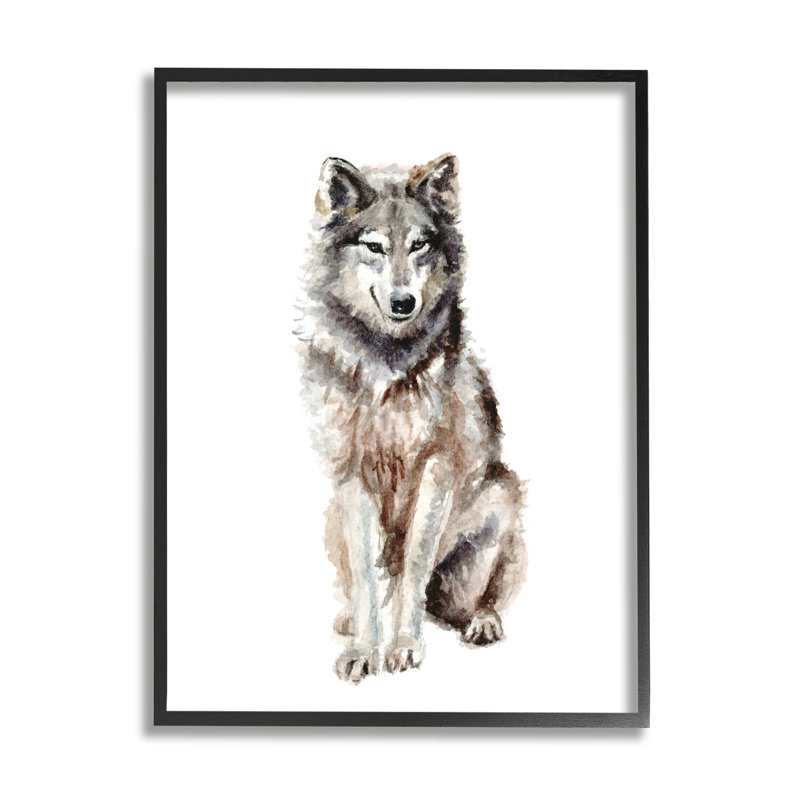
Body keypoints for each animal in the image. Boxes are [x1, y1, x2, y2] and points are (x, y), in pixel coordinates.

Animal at [296, 153, 526, 682]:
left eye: (420, 245)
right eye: (375, 247)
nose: (404, 302)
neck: (386, 361)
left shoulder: (435, 467)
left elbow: (413, 566)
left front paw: (403, 646)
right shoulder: (351, 472)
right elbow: (366, 576)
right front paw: (363, 650)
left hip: (502, 496)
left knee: (464, 599)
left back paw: (482, 622)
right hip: (331, 517)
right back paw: (348, 620)